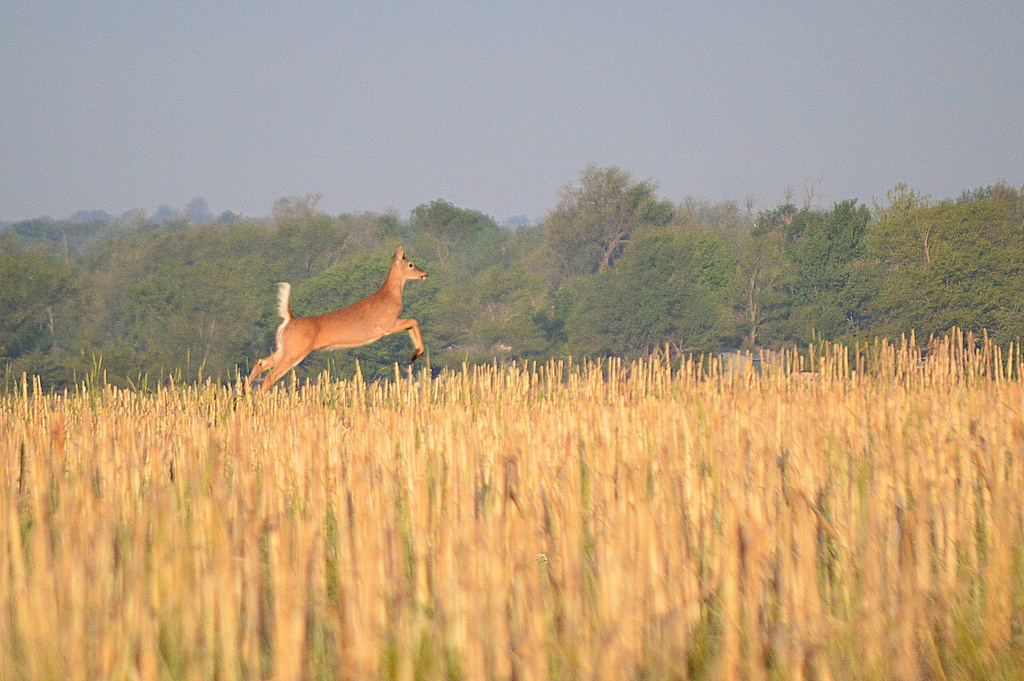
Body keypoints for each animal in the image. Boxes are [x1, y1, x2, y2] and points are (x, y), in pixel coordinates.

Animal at [249, 246, 430, 391]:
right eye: (411, 264)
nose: (425, 273)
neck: (391, 295)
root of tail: (290, 319)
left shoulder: (393, 324)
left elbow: (411, 325)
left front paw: (415, 354)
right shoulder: (387, 324)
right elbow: (414, 321)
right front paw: (417, 353)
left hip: (284, 348)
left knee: (260, 363)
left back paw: (246, 393)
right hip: (295, 351)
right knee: (270, 376)